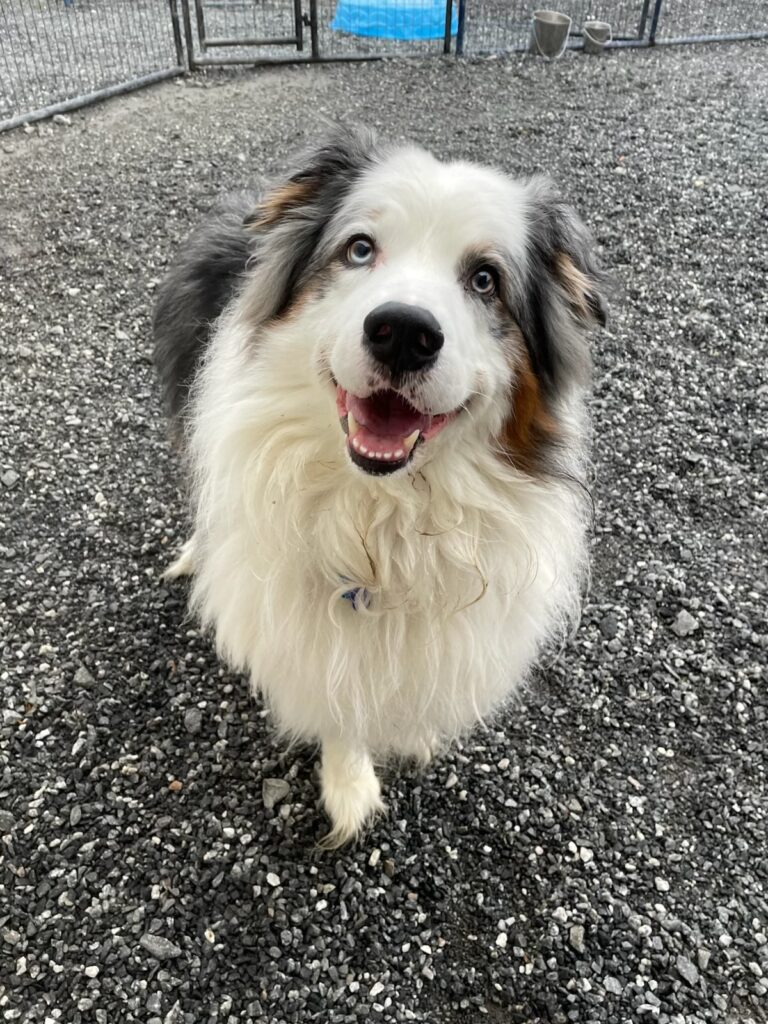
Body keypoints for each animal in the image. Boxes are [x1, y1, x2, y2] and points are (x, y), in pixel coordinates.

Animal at [153, 127, 606, 845]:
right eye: (360, 248)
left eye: (485, 279)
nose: (404, 333)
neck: (387, 512)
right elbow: (337, 701)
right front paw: (349, 785)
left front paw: (412, 733)